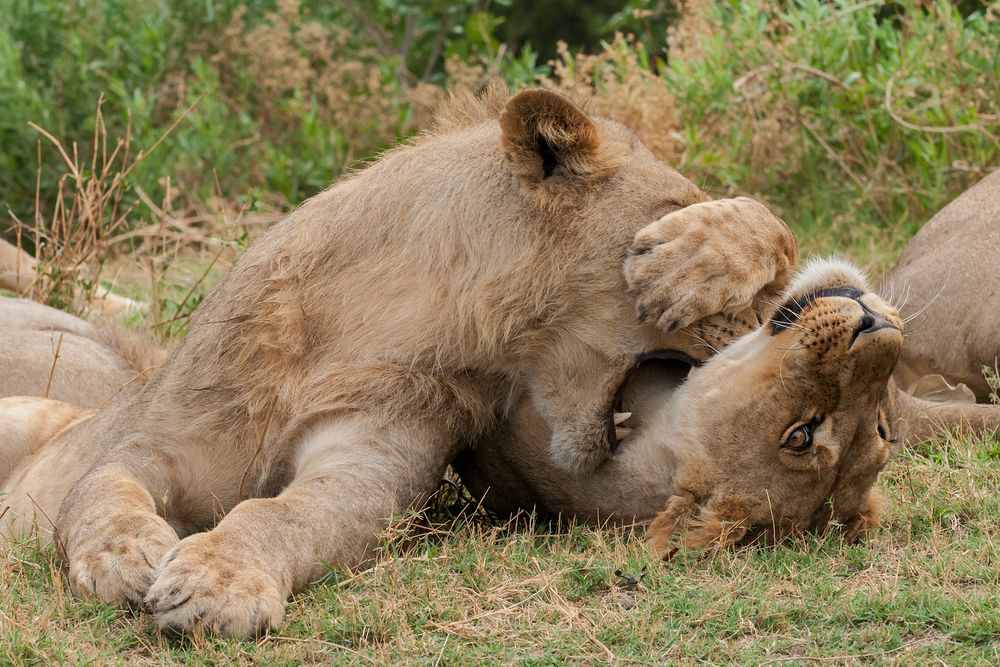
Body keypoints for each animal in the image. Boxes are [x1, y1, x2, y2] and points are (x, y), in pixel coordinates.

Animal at [0, 87, 800, 636]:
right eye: (673, 212)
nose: (769, 310)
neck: (386, 318)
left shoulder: (371, 457)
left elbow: (282, 512)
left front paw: (217, 583)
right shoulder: (156, 441)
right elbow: (102, 490)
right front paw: (126, 558)